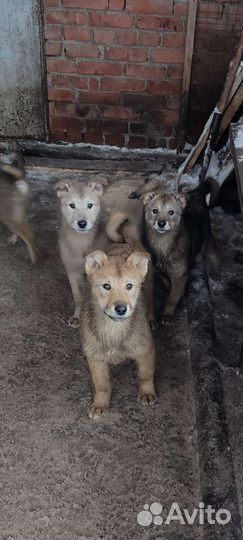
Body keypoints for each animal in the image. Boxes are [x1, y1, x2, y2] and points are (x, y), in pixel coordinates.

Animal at [54, 179, 104, 326]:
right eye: (72, 205)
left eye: (90, 205)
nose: (82, 223)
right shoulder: (71, 269)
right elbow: (78, 297)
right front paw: (77, 317)